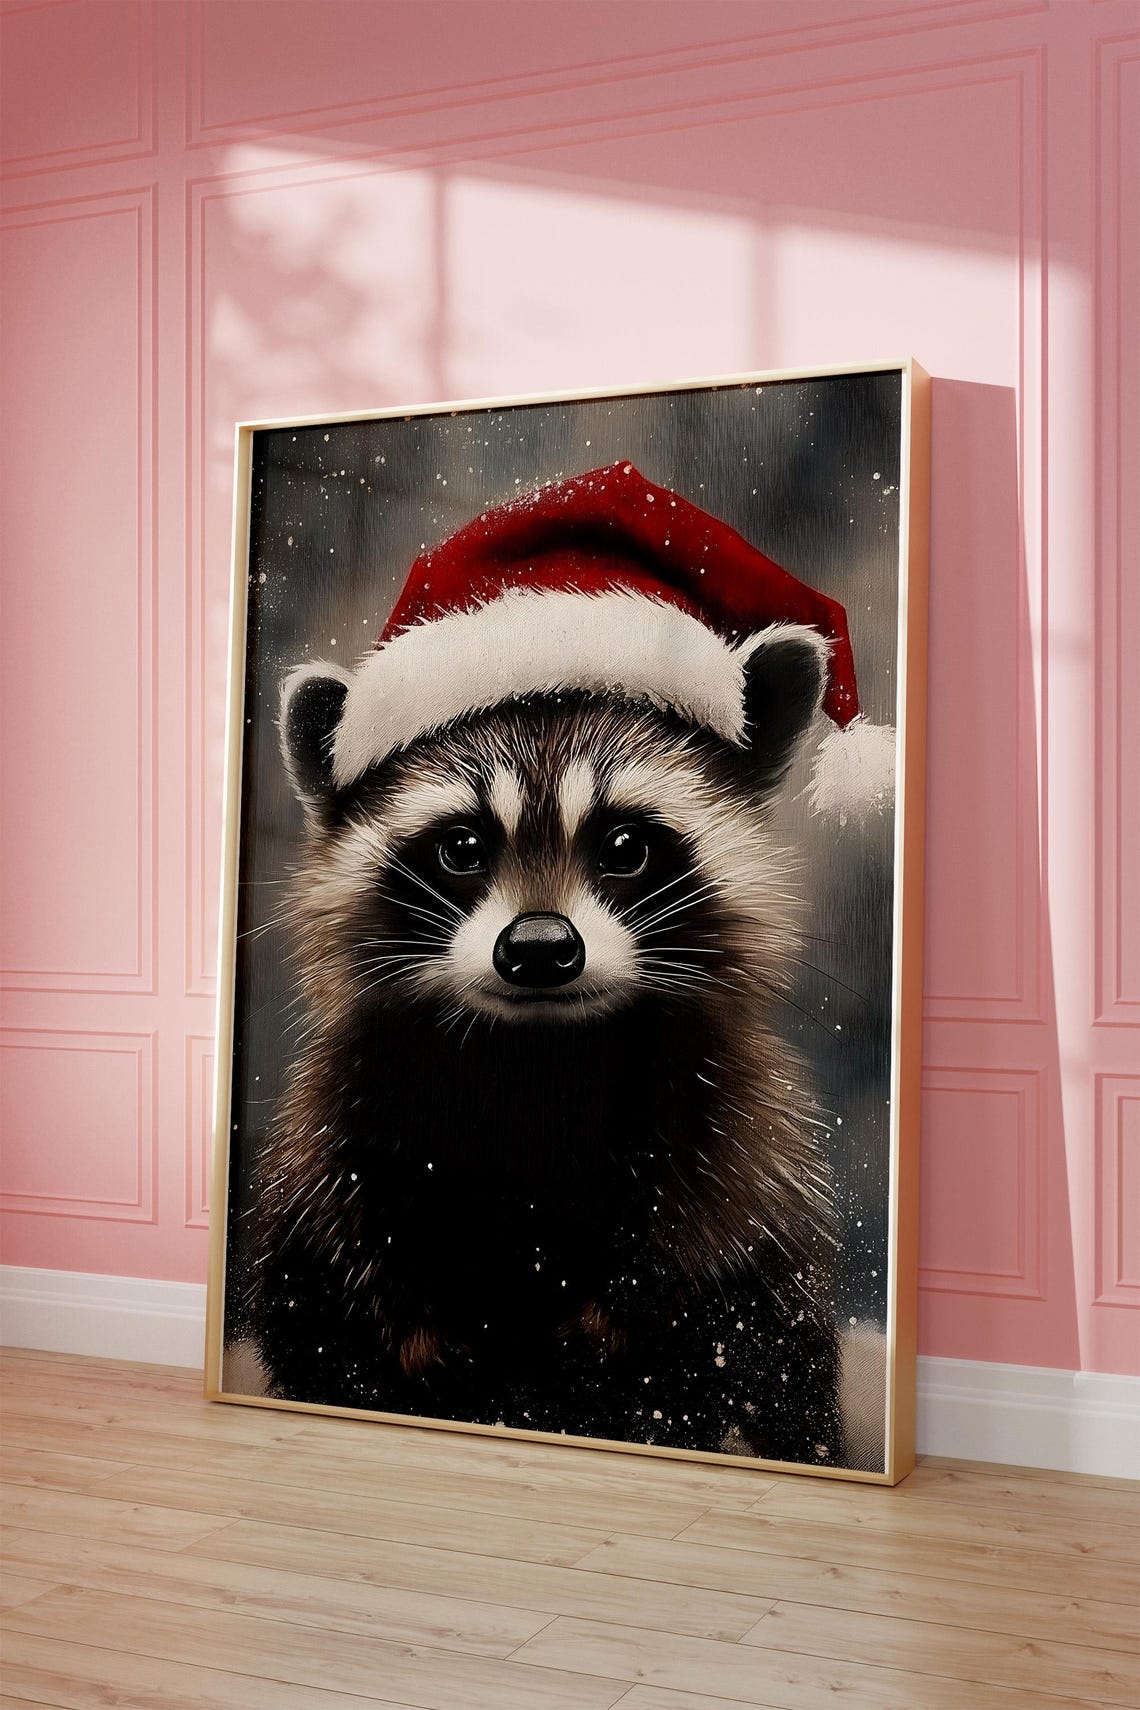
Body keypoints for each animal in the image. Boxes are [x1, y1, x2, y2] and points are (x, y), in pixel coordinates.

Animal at [252, 624, 845, 1465]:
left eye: (625, 845)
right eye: (460, 847)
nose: (538, 948)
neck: (537, 1053)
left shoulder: (737, 1128)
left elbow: (708, 1250)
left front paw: (622, 1316)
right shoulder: (341, 1124)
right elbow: (342, 1270)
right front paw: (414, 1331)